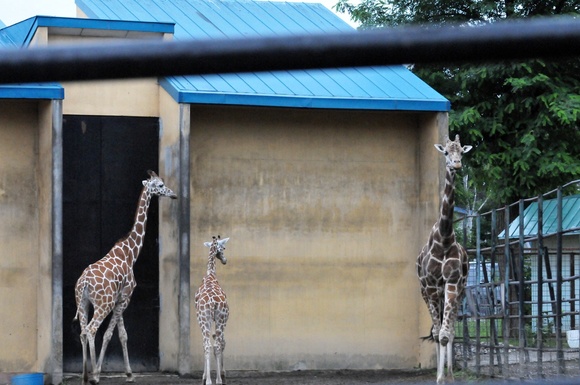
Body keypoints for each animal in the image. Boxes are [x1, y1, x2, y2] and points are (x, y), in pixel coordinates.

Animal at [73, 170, 176, 384]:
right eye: (160, 185)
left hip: (83, 303)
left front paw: (126, 373)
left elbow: (120, 334)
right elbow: (113, 334)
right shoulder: (125, 297)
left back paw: (85, 376)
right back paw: (92, 376)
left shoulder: (119, 299)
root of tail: (84, 282)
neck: (130, 252)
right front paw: (113, 372)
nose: (174, 195)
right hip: (102, 304)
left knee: (83, 332)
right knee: (92, 330)